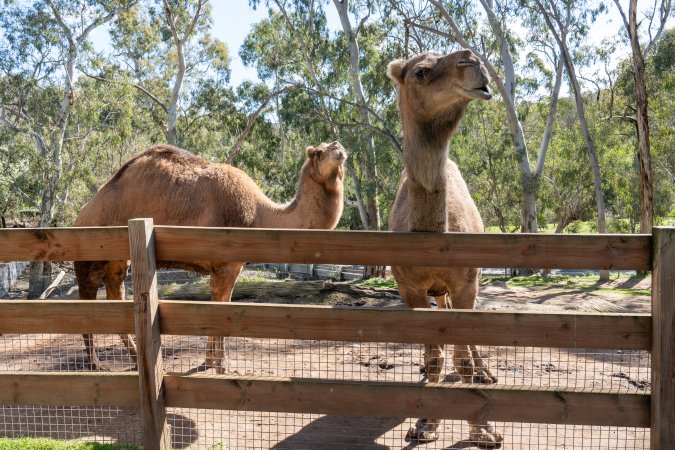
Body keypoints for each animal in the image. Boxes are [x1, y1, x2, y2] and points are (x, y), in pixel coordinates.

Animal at [74, 142, 347, 372]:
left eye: (334, 146)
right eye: (319, 152)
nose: (339, 148)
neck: (259, 216)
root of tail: (80, 214)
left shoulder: (231, 267)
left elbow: (221, 307)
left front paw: (211, 361)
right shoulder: (224, 265)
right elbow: (220, 311)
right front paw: (221, 366)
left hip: (119, 259)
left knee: (114, 292)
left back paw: (134, 360)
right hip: (89, 254)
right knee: (86, 299)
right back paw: (95, 364)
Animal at [387, 50, 502, 446]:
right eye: (421, 72)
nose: (472, 60)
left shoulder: (467, 280)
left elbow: (462, 356)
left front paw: (484, 430)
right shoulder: (410, 288)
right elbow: (436, 354)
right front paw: (425, 424)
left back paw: (487, 373)